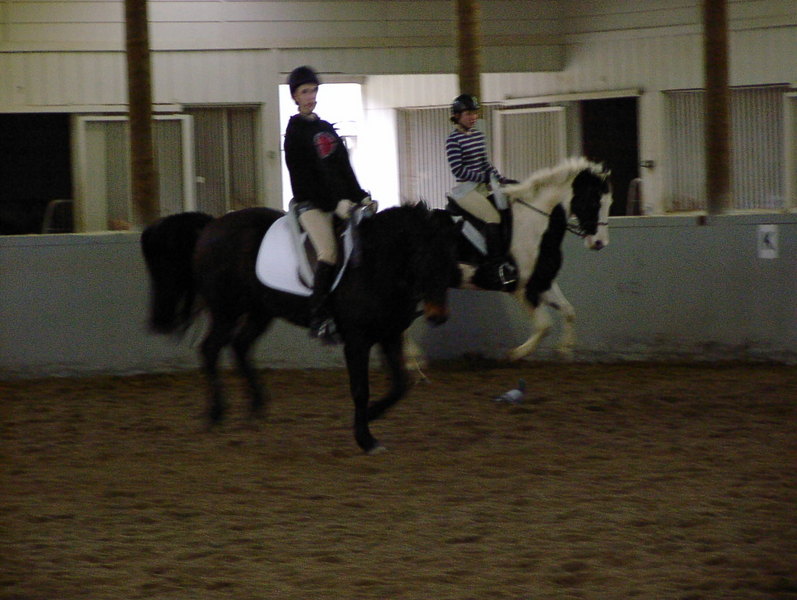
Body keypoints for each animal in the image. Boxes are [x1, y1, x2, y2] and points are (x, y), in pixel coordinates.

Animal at [140, 203, 463, 454]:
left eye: (452, 259)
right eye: (422, 257)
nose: (438, 316)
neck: (376, 265)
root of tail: (211, 225)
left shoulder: (390, 335)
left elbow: (400, 385)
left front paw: (371, 417)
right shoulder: (357, 340)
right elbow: (361, 389)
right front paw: (365, 438)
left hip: (260, 311)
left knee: (240, 346)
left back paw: (256, 409)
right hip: (226, 310)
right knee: (210, 349)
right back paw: (217, 415)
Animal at [407, 156, 611, 365]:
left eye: (609, 203)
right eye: (594, 202)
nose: (600, 243)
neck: (534, 225)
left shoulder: (542, 282)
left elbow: (569, 311)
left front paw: (565, 350)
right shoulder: (521, 289)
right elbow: (545, 325)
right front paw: (515, 354)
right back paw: (413, 359)